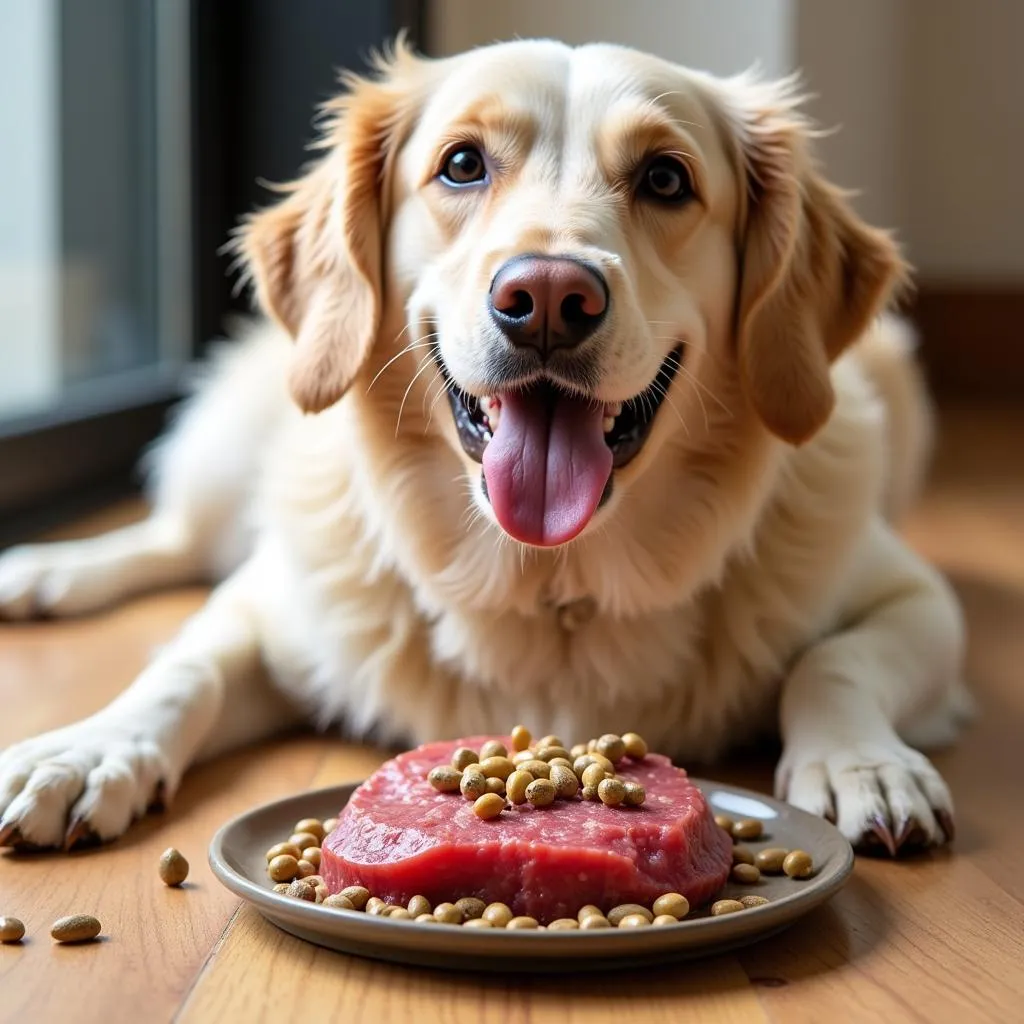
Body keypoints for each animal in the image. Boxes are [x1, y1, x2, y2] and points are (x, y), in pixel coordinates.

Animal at [0, 39, 970, 851]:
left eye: (665, 179)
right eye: (462, 165)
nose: (547, 298)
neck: (551, 584)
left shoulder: (916, 599)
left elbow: (833, 662)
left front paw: (863, 764)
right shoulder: (266, 603)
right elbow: (182, 670)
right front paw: (88, 752)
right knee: (171, 539)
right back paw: (46, 573)